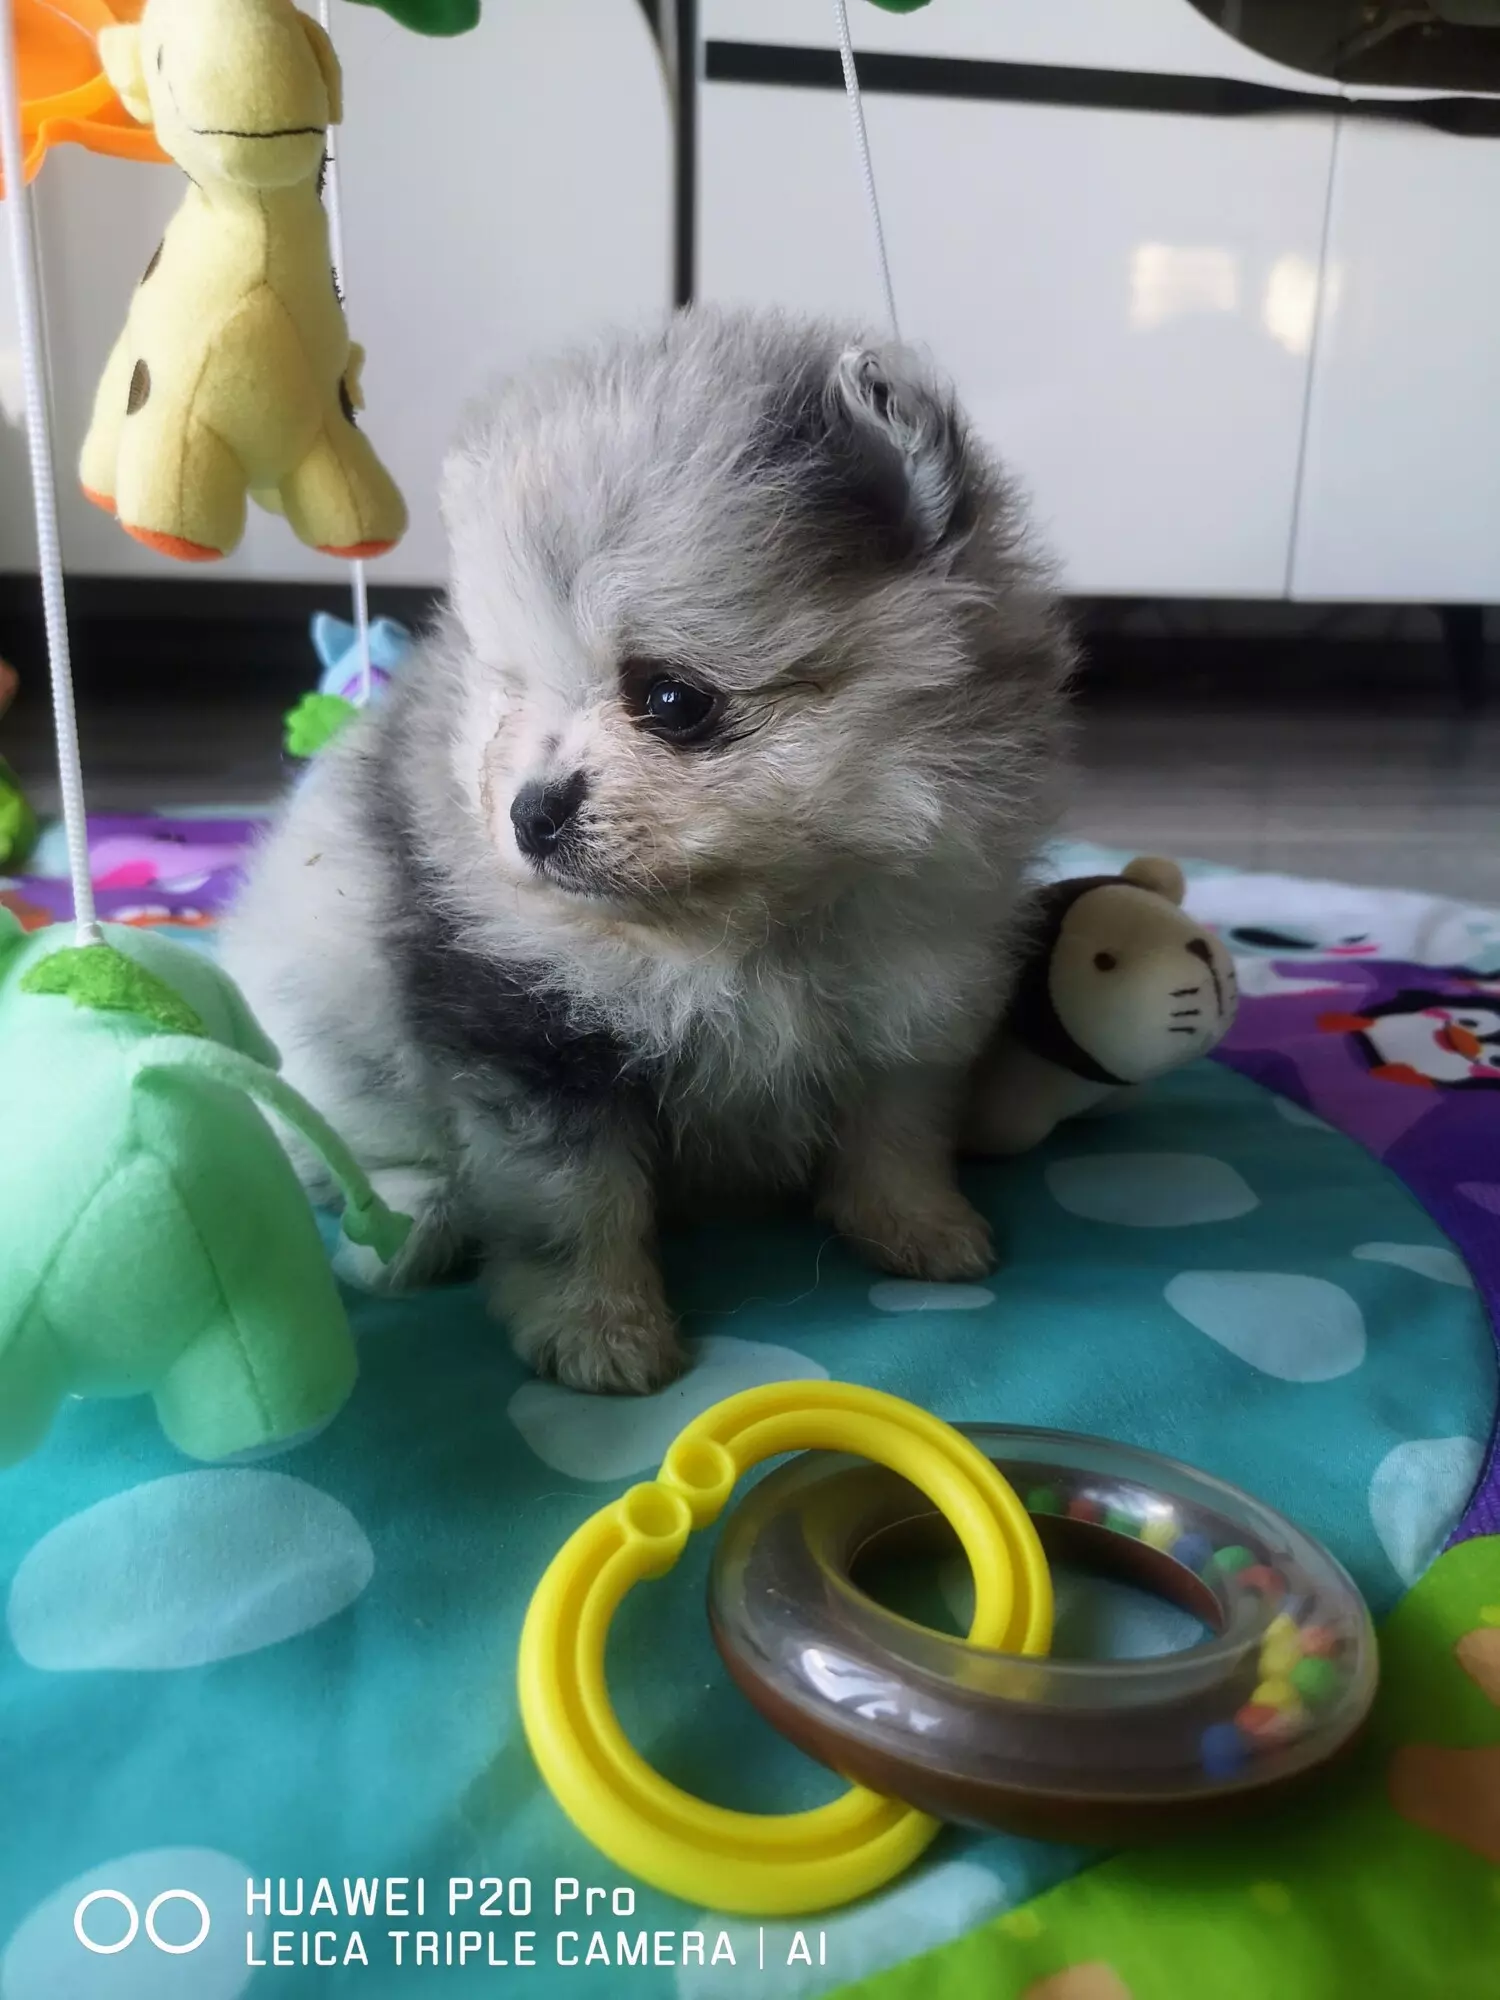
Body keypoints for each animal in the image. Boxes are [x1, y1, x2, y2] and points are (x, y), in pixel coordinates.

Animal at [223, 308, 1072, 1392]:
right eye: (511, 699)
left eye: (672, 698)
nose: (529, 815)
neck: (752, 927)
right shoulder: (533, 1024)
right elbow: (576, 1202)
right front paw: (599, 1331)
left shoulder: (915, 994)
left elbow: (897, 1129)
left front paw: (918, 1228)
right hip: (331, 1002)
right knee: (358, 1143)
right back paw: (415, 1231)